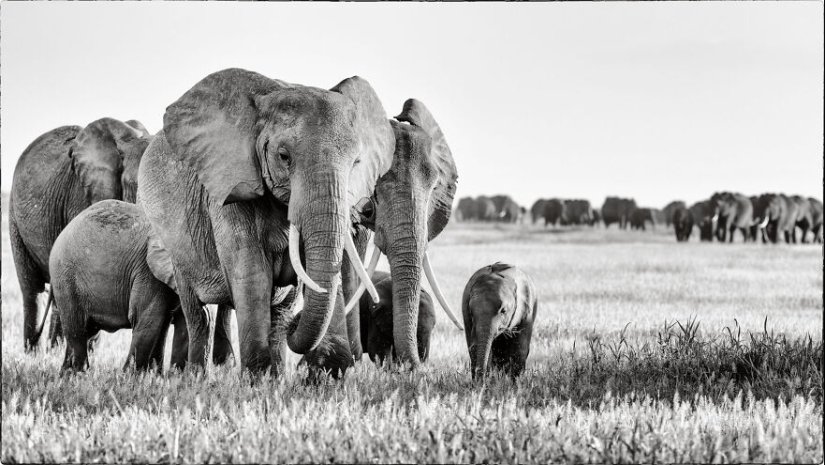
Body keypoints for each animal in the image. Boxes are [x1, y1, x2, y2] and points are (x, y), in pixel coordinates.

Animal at [50, 199, 183, 370]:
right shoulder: (148, 272)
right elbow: (146, 319)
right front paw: (130, 375)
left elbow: (163, 324)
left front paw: (154, 374)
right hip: (65, 275)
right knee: (77, 329)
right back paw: (79, 372)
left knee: (86, 331)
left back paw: (67, 373)